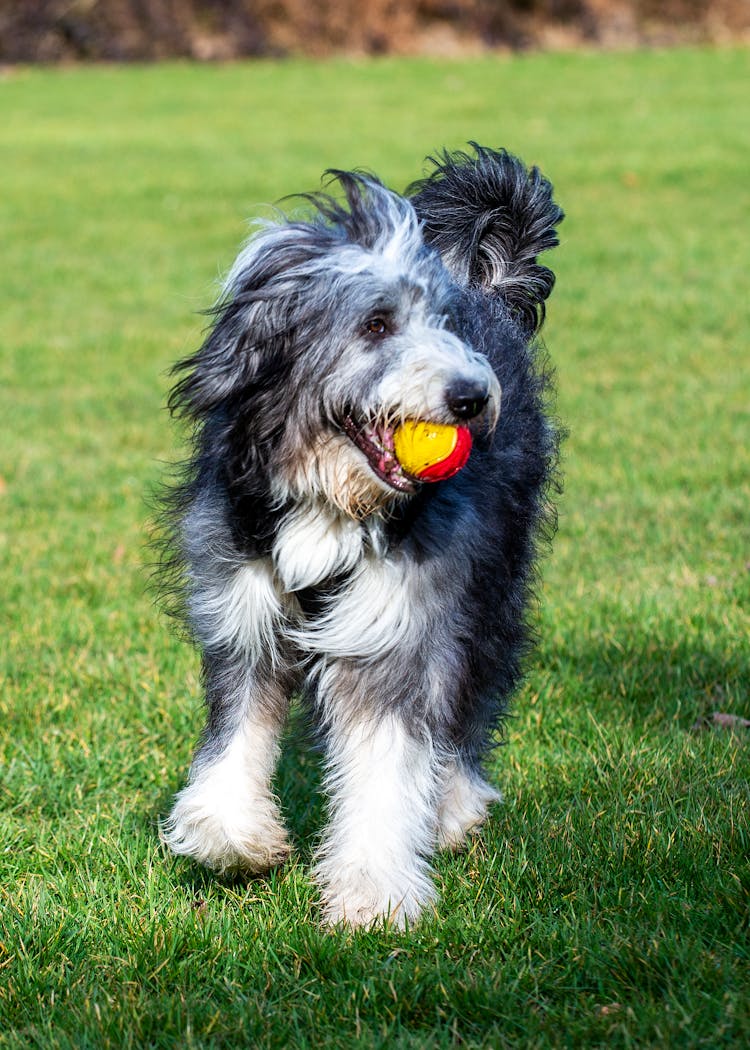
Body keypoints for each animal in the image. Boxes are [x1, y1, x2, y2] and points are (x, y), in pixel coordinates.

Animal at [159, 141, 563, 928]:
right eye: (376, 324)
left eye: (443, 322)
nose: (473, 398)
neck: (329, 499)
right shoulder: (243, 612)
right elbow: (238, 730)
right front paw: (236, 837)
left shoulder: (398, 623)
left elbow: (386, 760)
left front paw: (373, 890)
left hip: (492, 582)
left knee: (470, 695)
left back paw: (453, 802)